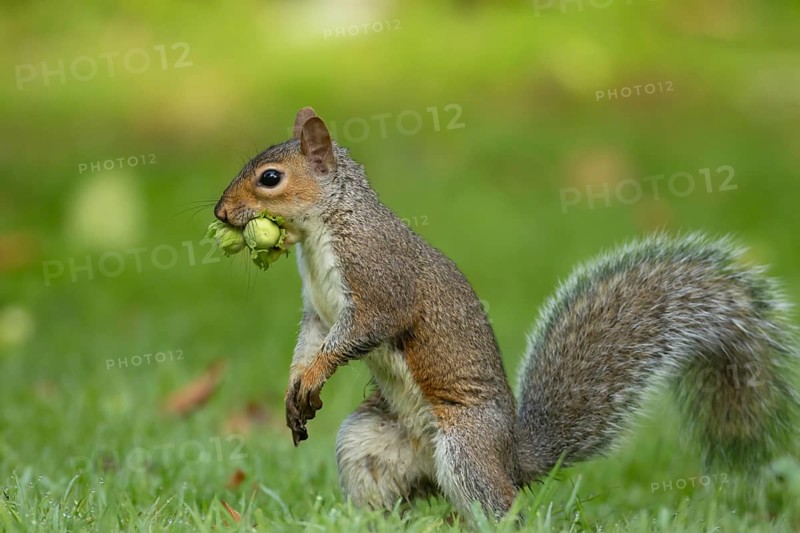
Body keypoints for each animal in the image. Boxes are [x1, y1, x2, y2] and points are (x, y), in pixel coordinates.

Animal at [213, 107, 799, 518]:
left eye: (270, 178)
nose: (220, 212)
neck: (324, 229)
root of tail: (514, 459)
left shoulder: (380, 283)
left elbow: (360, 332)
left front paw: (314, 375)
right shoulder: (318, 311)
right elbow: (310, 340)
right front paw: (296, 387)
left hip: (466, 448)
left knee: (500, 509)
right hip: (368, 443)